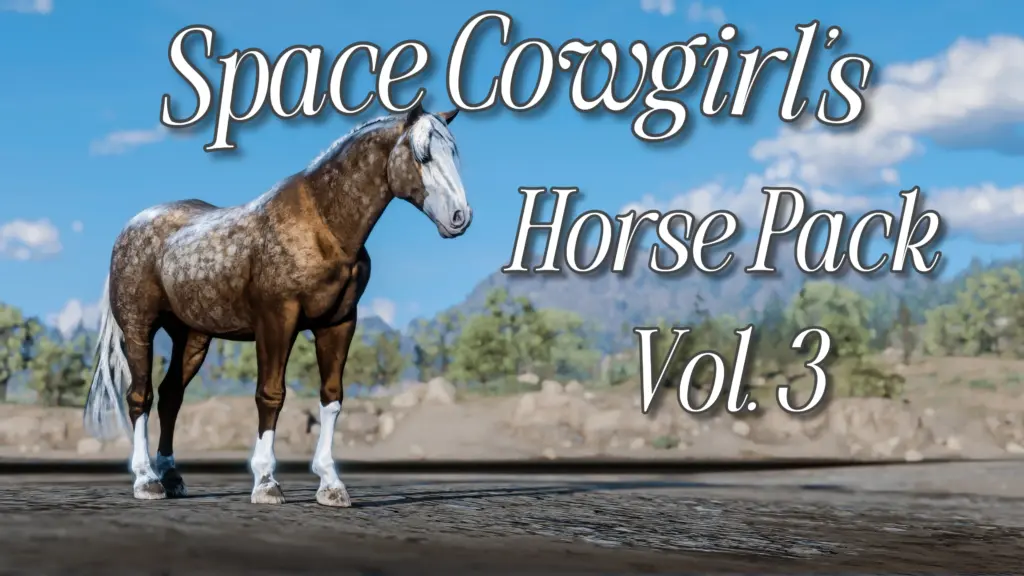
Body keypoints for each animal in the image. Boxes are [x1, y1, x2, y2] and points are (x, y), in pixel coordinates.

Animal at [82, 103, 472, 507]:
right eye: (422, 155)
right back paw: (147, 480)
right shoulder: (277, 321)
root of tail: (129, 229)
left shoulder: (339, 323)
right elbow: (270, 395)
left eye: (453, 152)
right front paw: (266, 482)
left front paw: (330, 483)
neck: (323, 226)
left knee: (171, 396)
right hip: (138, 329)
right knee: (139, 396)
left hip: (192, 337)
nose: (460, 217)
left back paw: (172, 477)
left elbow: (332, 397)